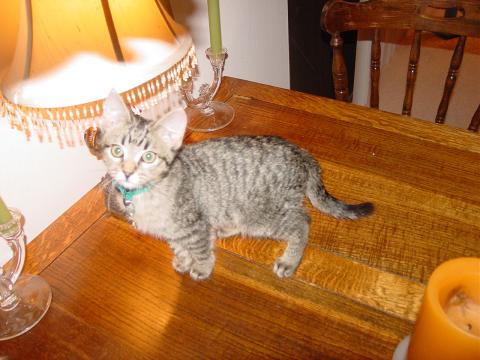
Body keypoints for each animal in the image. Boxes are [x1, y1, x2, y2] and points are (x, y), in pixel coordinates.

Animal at [95, 90, 374, 282]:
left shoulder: (193, 223)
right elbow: (180, 245)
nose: (127, 171)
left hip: (262, 214)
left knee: (302, 222)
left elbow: (199, 248)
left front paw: (201, 267)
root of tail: (300, 152)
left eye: (148, 157)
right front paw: (182, 259)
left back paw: (289, 260)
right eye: (117, 151)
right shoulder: (174, 230)